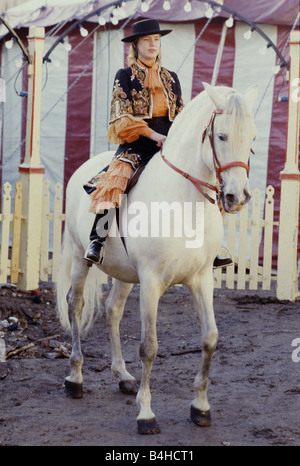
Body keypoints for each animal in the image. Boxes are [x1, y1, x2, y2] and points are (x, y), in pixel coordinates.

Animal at [56, 82, 258, 436]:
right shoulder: (151, 282)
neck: (183, 203)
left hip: (124, 274)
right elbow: (149, 347)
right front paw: (146, 414)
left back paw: (122, 376)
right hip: (82, 260)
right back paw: (75, 378)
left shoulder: (201, 279)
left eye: (253, 138)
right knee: (75, 305)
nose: (237, 197)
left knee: (113, 310)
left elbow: (210, 338)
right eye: (221, 136)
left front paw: (200, 408)